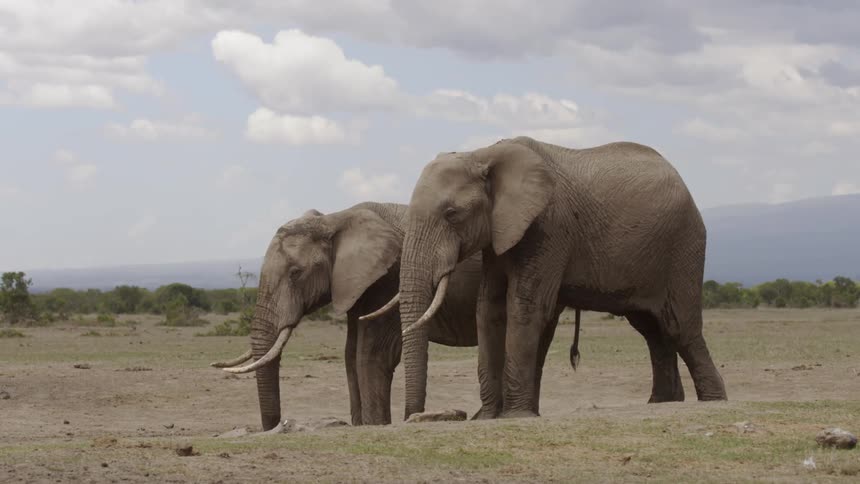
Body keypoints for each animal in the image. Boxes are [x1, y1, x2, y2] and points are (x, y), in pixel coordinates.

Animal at [210, 201, 582, 430]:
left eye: (296, 274)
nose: (276, 426)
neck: (336, 218)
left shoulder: (387, 277)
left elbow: (371, 353)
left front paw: (375, 426)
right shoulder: (357, 284)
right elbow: (351, 354)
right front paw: (361, 425)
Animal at [365, 136, 727, 420]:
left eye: (452, 214)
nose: (415, 417)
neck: (482, 153)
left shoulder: (548, 226)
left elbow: (523, 307)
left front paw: (514, 416)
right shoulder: (499, 234)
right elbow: (488, 308)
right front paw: (487, 417)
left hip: (684, 245)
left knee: (679, 326)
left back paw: (714, 401)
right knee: (652, 330)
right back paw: (662, 403)